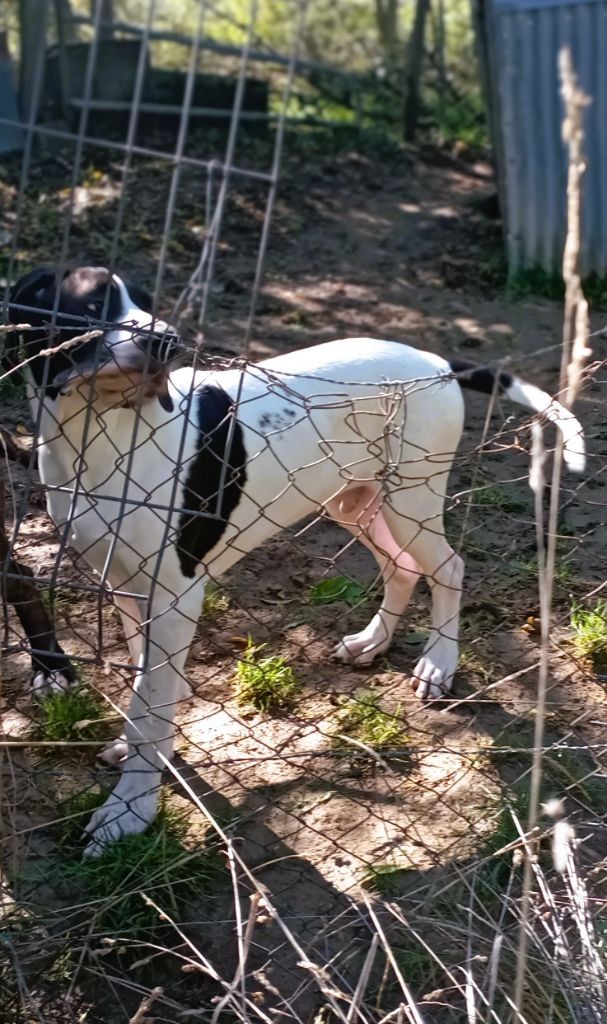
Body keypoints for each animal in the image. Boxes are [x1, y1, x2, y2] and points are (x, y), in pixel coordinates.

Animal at [7, 265, 585, 854]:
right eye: (93, 303)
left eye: (150, 304)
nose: (167, 340)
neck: (99, 433)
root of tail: (434, 362)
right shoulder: (125, 583)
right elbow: (147, 689)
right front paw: (146, 751)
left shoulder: (175, 595)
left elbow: (153, 700)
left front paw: (130, 810)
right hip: (354, 501)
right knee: (402, 567)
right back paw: (373, 641)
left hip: (411, 499)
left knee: (447, 568)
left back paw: (439, 663)